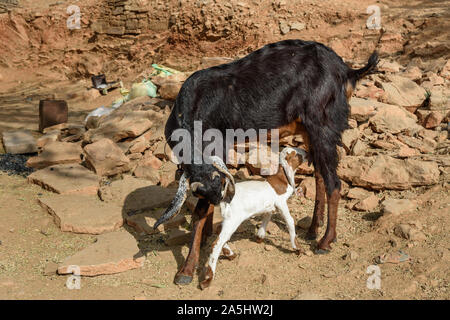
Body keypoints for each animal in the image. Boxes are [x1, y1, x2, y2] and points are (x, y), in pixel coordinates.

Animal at [201, 148, 310, 290]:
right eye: (295, 154)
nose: (307, 153)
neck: (281, 179)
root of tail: (225, 195)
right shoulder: (281, 202)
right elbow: (290, 221)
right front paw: (297, 248)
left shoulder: (269, 206)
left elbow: (266, 217)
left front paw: (260, 236)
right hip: (233, 220)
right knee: (216, 244)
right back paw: (208, 279)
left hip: (228, 218)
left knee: (219, 231)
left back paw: (230, 254)